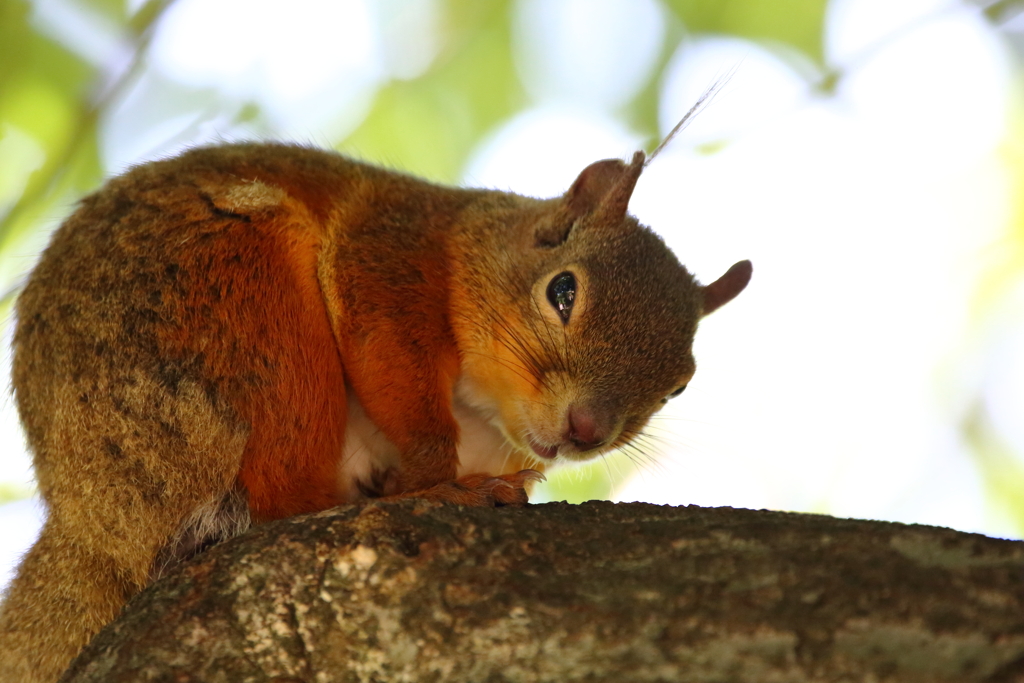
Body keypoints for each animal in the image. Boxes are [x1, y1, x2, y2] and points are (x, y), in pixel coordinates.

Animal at [0, 141, 749, 679]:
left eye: (679, 386)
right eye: (563, 291)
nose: (586, 430)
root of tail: (88, 521)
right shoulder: (388, 253)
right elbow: (388, 353)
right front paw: (436, 478)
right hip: (233, 312)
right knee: (282, 500)